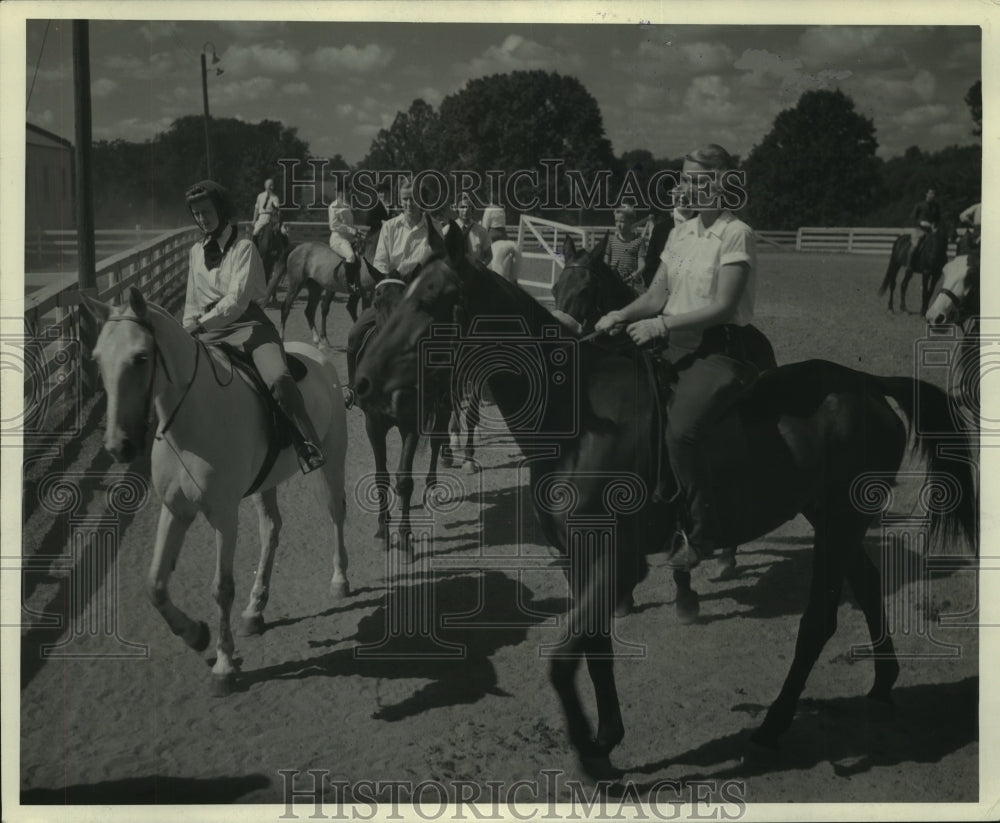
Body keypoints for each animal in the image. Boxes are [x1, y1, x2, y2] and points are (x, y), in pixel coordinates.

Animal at [80, 288, 352, 696]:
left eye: (141, 357)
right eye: (98, 359)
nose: (118, 447)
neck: (192, 422)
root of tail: (316, 354)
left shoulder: (224, 515)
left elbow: (222, 588)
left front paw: (224, 665)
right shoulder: (175, 509)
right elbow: (155, 584)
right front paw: (195, 634)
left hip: (332, 461)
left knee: (336, 514)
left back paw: (339, 580)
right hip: (266, 483)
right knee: (271, 530)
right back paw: (255, 609)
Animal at [356, 276, 454, 552]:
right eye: (376, 301)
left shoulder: (410, 424)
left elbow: (404, 480)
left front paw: (405, 536)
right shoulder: (373, 423)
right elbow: (381, 477)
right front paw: (382, 529)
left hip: (444, 405)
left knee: (436, 441)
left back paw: (432, 486)